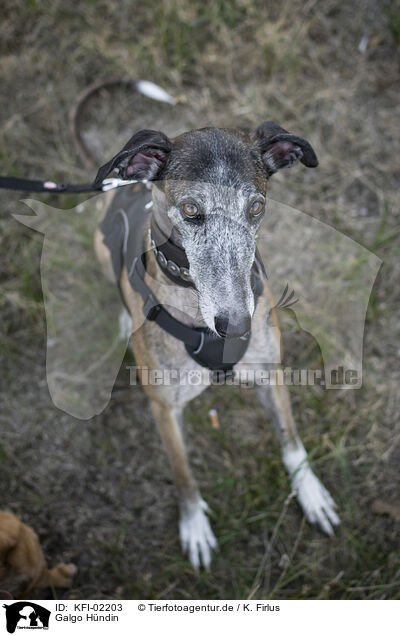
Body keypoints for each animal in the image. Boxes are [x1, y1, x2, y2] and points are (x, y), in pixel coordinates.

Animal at [94, 121, 340, 568]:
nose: (238, 326)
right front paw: (194, 526)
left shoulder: (270, 373)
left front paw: (311, 494)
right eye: (191, 210)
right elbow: (183, 474)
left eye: (256, 208)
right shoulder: (164, 408)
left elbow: (292, 442)